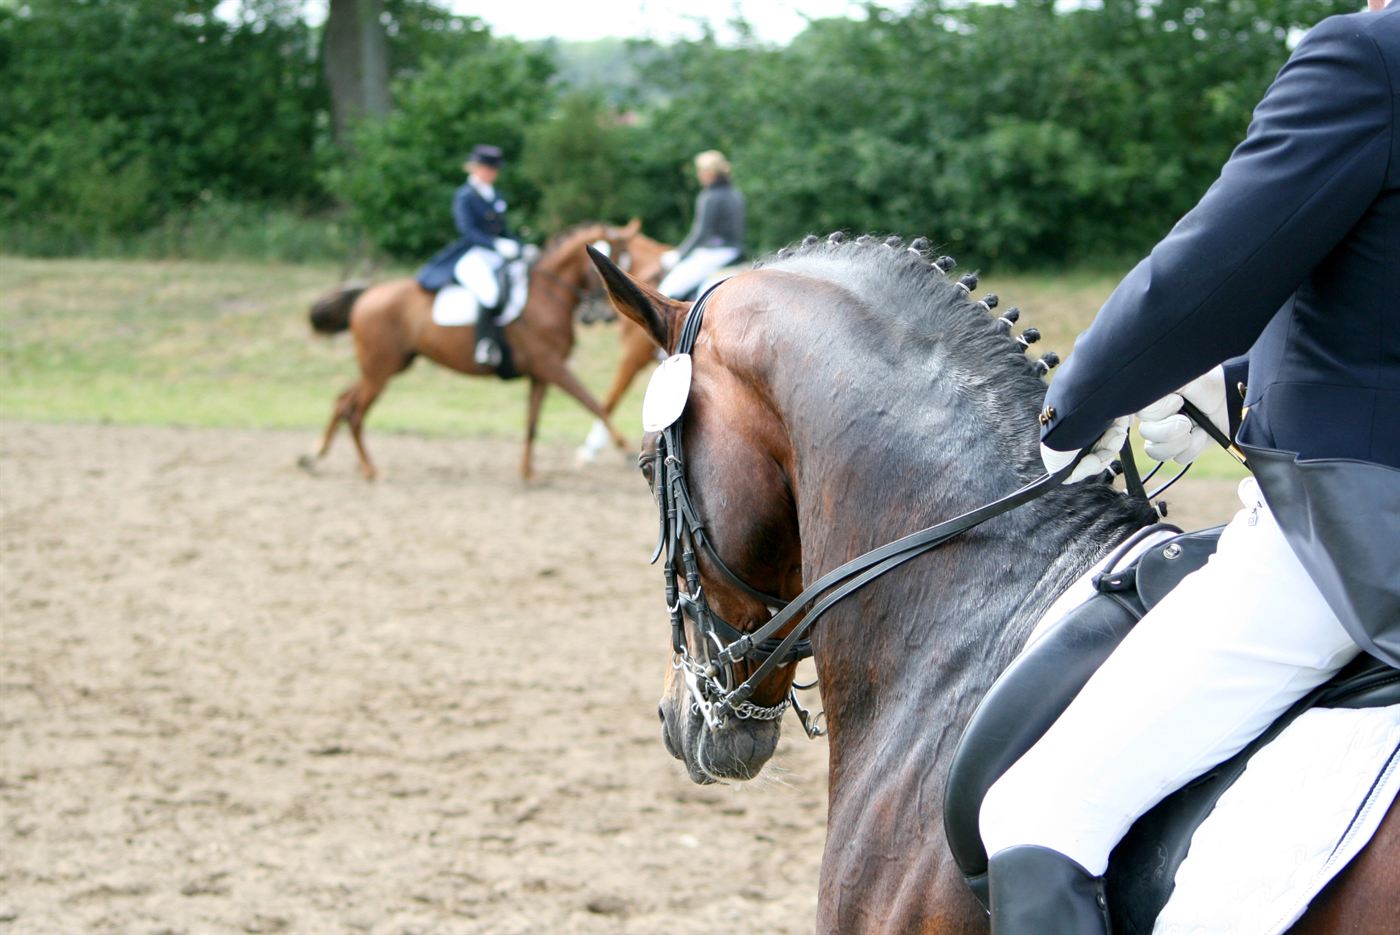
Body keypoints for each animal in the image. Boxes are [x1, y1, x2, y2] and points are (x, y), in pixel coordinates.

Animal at [303, 221, 639, 481]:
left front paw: (528, 473)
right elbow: (594, 403)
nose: (607, 315)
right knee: (355, 412)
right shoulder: (552, 366)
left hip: (385, 366)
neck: (547, 295)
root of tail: (367, 294)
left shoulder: (541, 374)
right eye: (607, 262)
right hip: (380, 370)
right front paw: (625, 449)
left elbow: (532, 423)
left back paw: (314, 456)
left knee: (342, 401)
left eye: (627, 261)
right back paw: (369, 470)